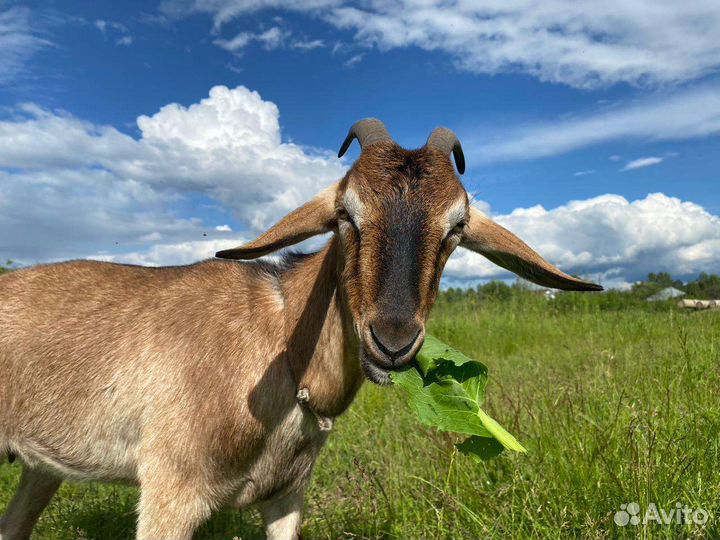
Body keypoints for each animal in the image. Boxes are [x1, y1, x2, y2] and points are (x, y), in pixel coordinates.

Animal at [0, 119, 601, 540]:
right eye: (346, 214)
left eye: (455, 227)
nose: (393, 341)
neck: (280, 340)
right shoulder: (171, 491)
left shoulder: (287, 495)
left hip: (39, 469)